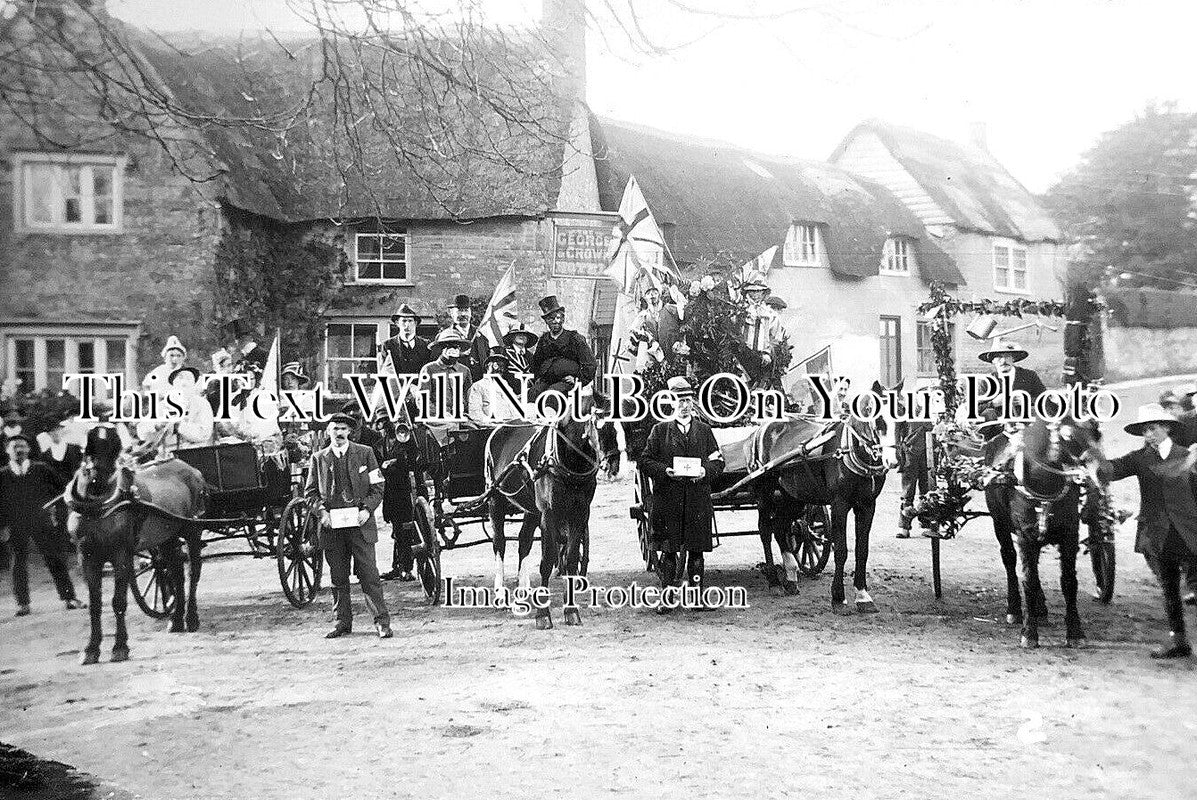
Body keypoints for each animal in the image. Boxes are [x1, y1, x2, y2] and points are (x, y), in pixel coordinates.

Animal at [66, 423, 207, 661]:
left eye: (114, 446)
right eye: (88, 448)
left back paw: (191, 617)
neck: (97, 509)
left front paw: (120, 647)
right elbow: (95, 604)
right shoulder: (86, 557)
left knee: (193, 573)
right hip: (167, 538)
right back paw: (177, 620)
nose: (99, 478)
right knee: (176, 572)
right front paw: (91, 649)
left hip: (192, 530)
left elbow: (118, 602)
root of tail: (191, 469)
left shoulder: (121, 555)